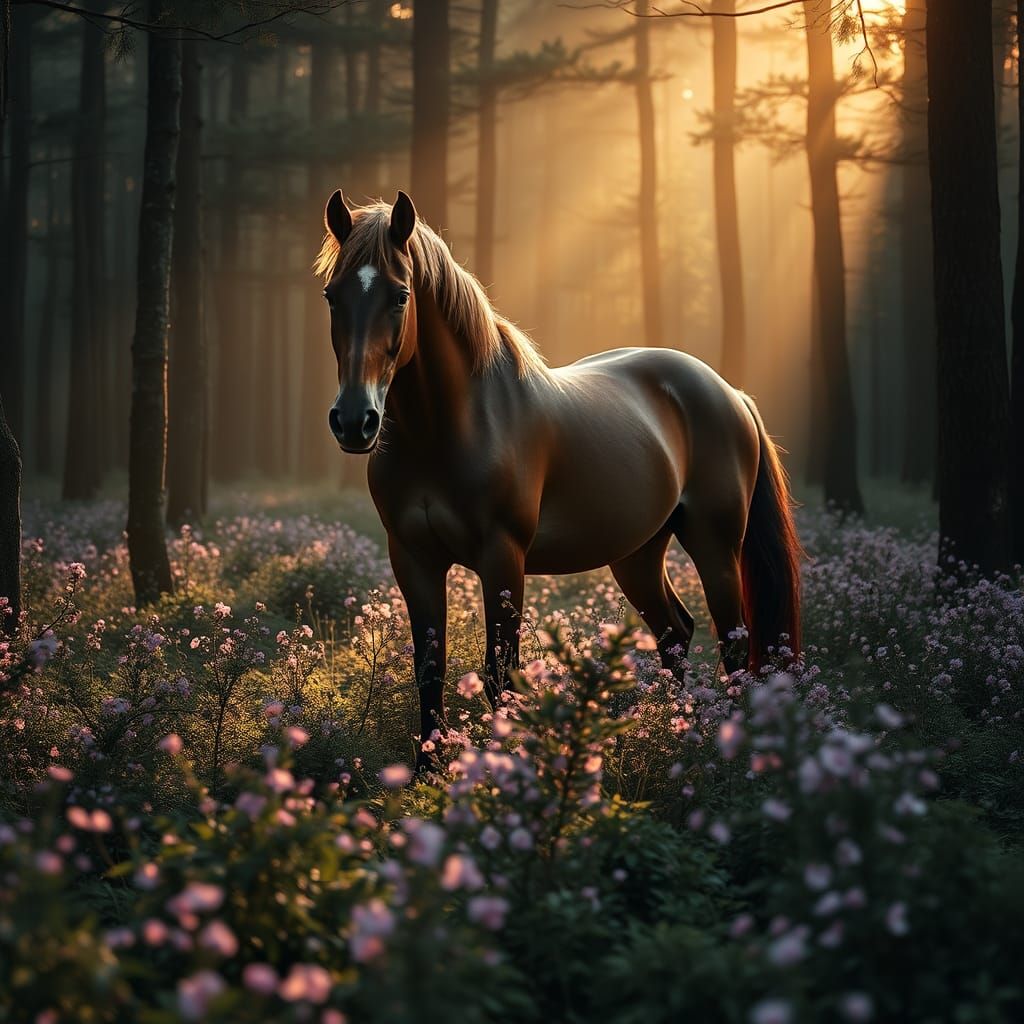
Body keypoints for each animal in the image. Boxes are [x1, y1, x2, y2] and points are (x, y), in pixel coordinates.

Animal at [313, 189, 801, 762]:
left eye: (399, 296)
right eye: (332, 296)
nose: (354, 420)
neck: (450, 427)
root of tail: (730, 393)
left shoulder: (503, 556)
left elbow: (501, 673)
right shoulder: (413, 558)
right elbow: (429, 671)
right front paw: (426, 772)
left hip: (715, 544)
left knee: (734, 644)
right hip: (637, 554)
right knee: (676, 635)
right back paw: (681, 737)